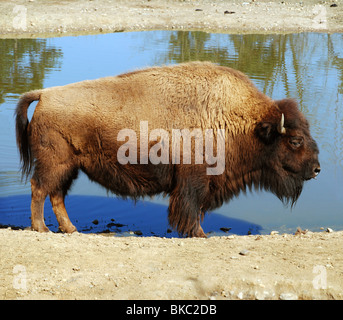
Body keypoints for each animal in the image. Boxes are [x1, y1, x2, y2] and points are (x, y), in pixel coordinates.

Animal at [15, 62, 322, 238]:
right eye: (296, 140)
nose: (317, 169)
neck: (241, 121)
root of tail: (45, 95)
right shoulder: (193, 181)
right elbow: (191, 209)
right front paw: (198, 234)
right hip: (55, 164)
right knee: (39, 189)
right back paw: (41, 227)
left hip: (69, 168)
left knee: (56, 195)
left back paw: (70, 229)